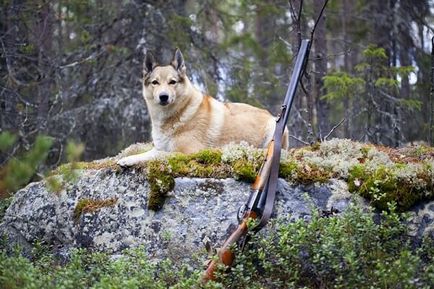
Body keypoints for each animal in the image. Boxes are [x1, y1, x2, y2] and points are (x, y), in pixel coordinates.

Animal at [118, 46, 288, 164]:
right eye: (155, 82)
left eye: (172, 82)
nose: (163, 97)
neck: (178, 115)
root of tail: (270, 114)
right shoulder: (158, 148)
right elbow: (145, 154)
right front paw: (127, 159)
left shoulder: (187, 152)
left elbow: (161, 155)